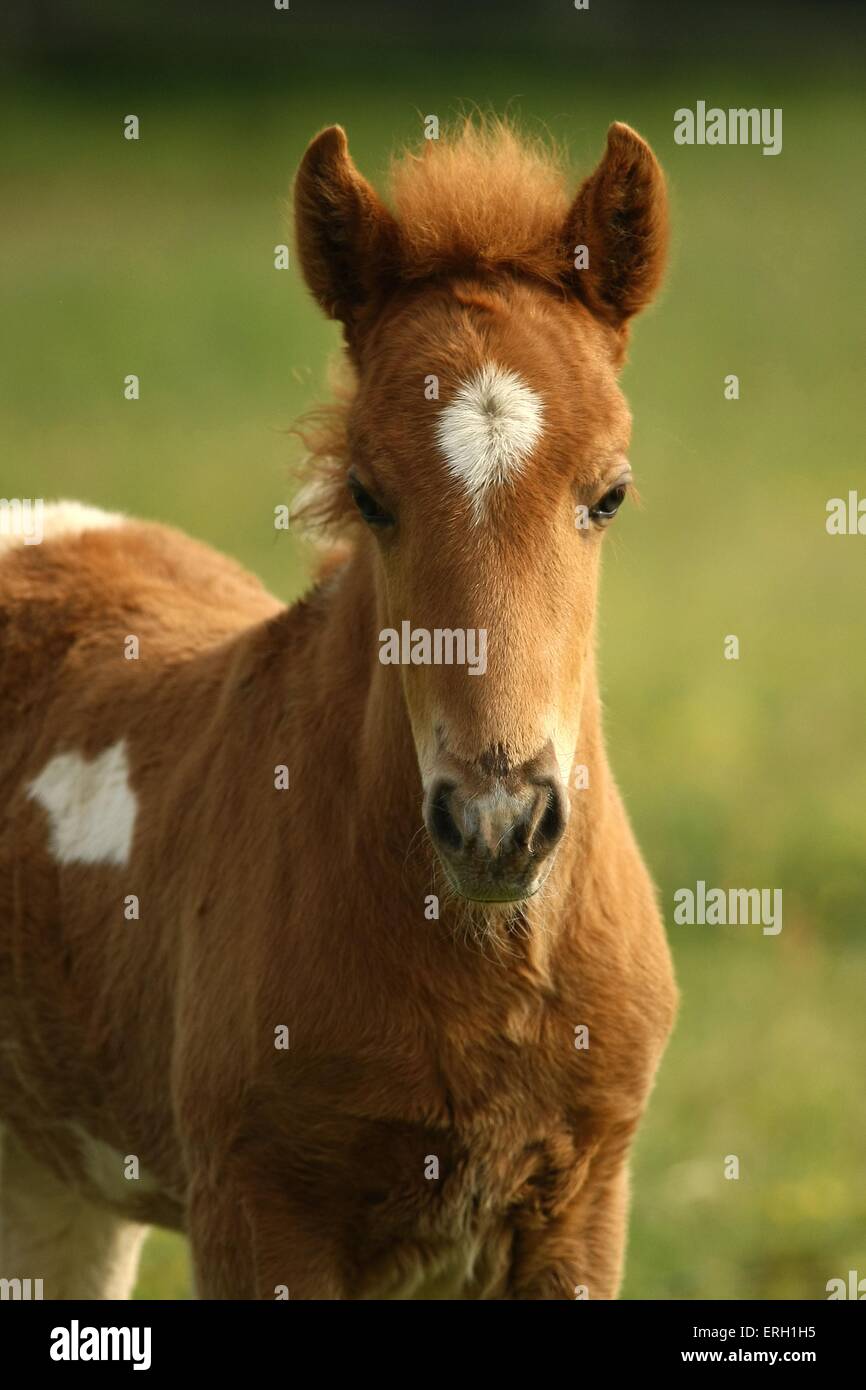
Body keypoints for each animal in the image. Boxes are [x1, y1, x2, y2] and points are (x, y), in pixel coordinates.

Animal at [0, 118, 677, 1299]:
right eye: (368, 494)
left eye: (609, 494)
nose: (497, 823)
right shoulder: (253, 1209)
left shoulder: (582, 1205)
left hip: (55, 1185)